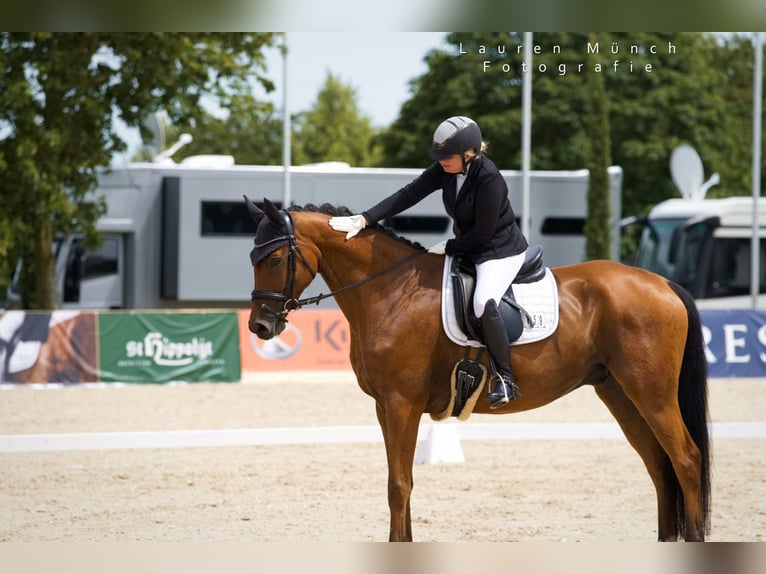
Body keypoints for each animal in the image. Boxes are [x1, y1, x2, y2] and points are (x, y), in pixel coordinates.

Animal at [244, 197, 711, 542]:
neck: (390, 291)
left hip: (651, 393)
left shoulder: (401, 403)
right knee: (659, 464)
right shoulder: (385, 407)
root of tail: (662, 283)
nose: (260, 327)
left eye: (274, 259)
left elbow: (398, 485)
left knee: (686, 460)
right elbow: (402, 480)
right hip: (619, 393)